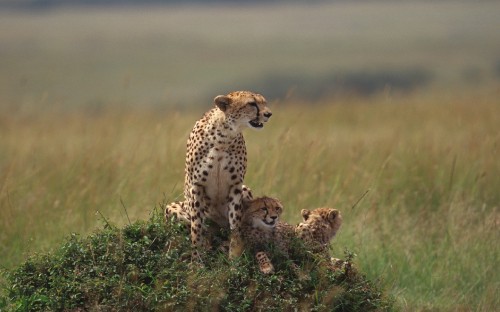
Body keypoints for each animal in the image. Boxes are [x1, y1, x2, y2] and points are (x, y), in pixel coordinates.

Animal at [178, 91, 272, 260]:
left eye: (264, 102)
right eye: (252, 104)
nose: (268, 114)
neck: (223, 137)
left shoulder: (236, 186)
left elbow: (235, 224)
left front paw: (234, 257)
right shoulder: (196, 186)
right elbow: (196, 228)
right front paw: (196, 259)